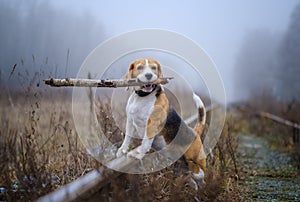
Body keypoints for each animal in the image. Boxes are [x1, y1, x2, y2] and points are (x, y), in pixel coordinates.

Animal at [115, 57, 206, 187]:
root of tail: (195, 132)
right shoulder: (130, 121)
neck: (142, 97)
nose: (148, 75)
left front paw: (138, 155)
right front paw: (122, 150)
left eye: (153, 68)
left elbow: (145, 143)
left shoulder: (152, 124)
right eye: (140, 67)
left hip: (194, 160)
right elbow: (127, 137)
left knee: (200, 174)